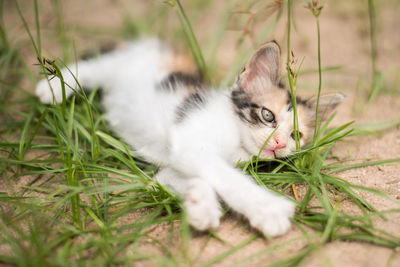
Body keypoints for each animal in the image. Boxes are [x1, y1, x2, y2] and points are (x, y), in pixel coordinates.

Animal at [36, 38, 346, 238]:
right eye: (268, 115)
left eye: (296, 135)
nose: (280, 143)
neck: (237, 138)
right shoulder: (193, 144)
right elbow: (228, 177)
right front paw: (267, 209)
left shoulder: (179, 160)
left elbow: (169, 179)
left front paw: (199, 204)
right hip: (121, 65)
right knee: (93, 68)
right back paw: (53, 87)